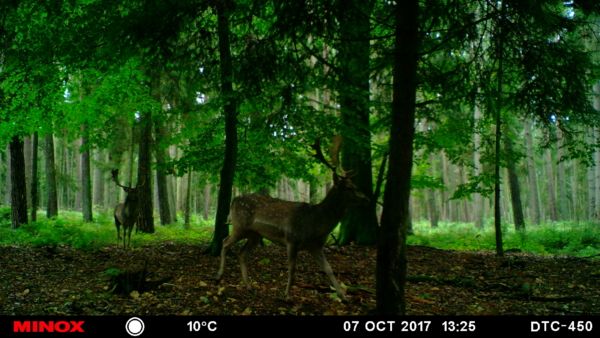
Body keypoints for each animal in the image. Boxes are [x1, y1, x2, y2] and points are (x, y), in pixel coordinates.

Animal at [216, 138, 366, 302]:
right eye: (348, 188)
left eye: (354, 185)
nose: (366, 198)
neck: (316, 223)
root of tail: (234, 200)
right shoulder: (292, 239)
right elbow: (292, 269)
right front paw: (286, 295)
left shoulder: (316, 245)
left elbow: (329, 269)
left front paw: (343, 297)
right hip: (239, 225)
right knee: (225, 242)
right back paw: (218, 276)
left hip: (254, 235)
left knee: (242, 253)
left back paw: (249, 286)